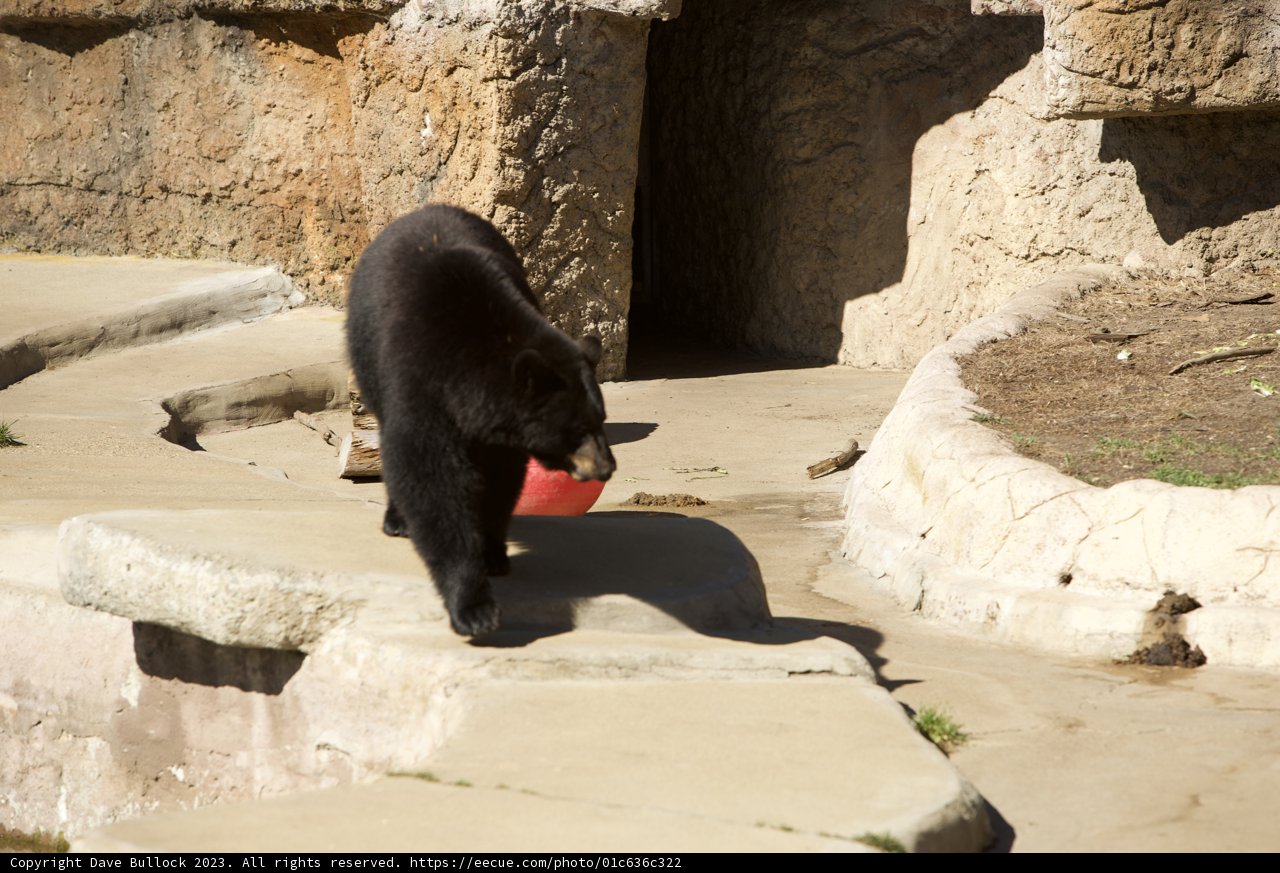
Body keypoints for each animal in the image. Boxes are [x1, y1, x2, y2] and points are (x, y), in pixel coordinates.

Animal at [345, 204, 616, 637]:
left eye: (601, 418)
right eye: (576, 429)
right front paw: (474, 608)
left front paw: (493, 554)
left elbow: (499, 479)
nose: (606, 467)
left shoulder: (499, 428)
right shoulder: (419, 380)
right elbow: (431, 479)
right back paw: (396, 520)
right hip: (366, 353)